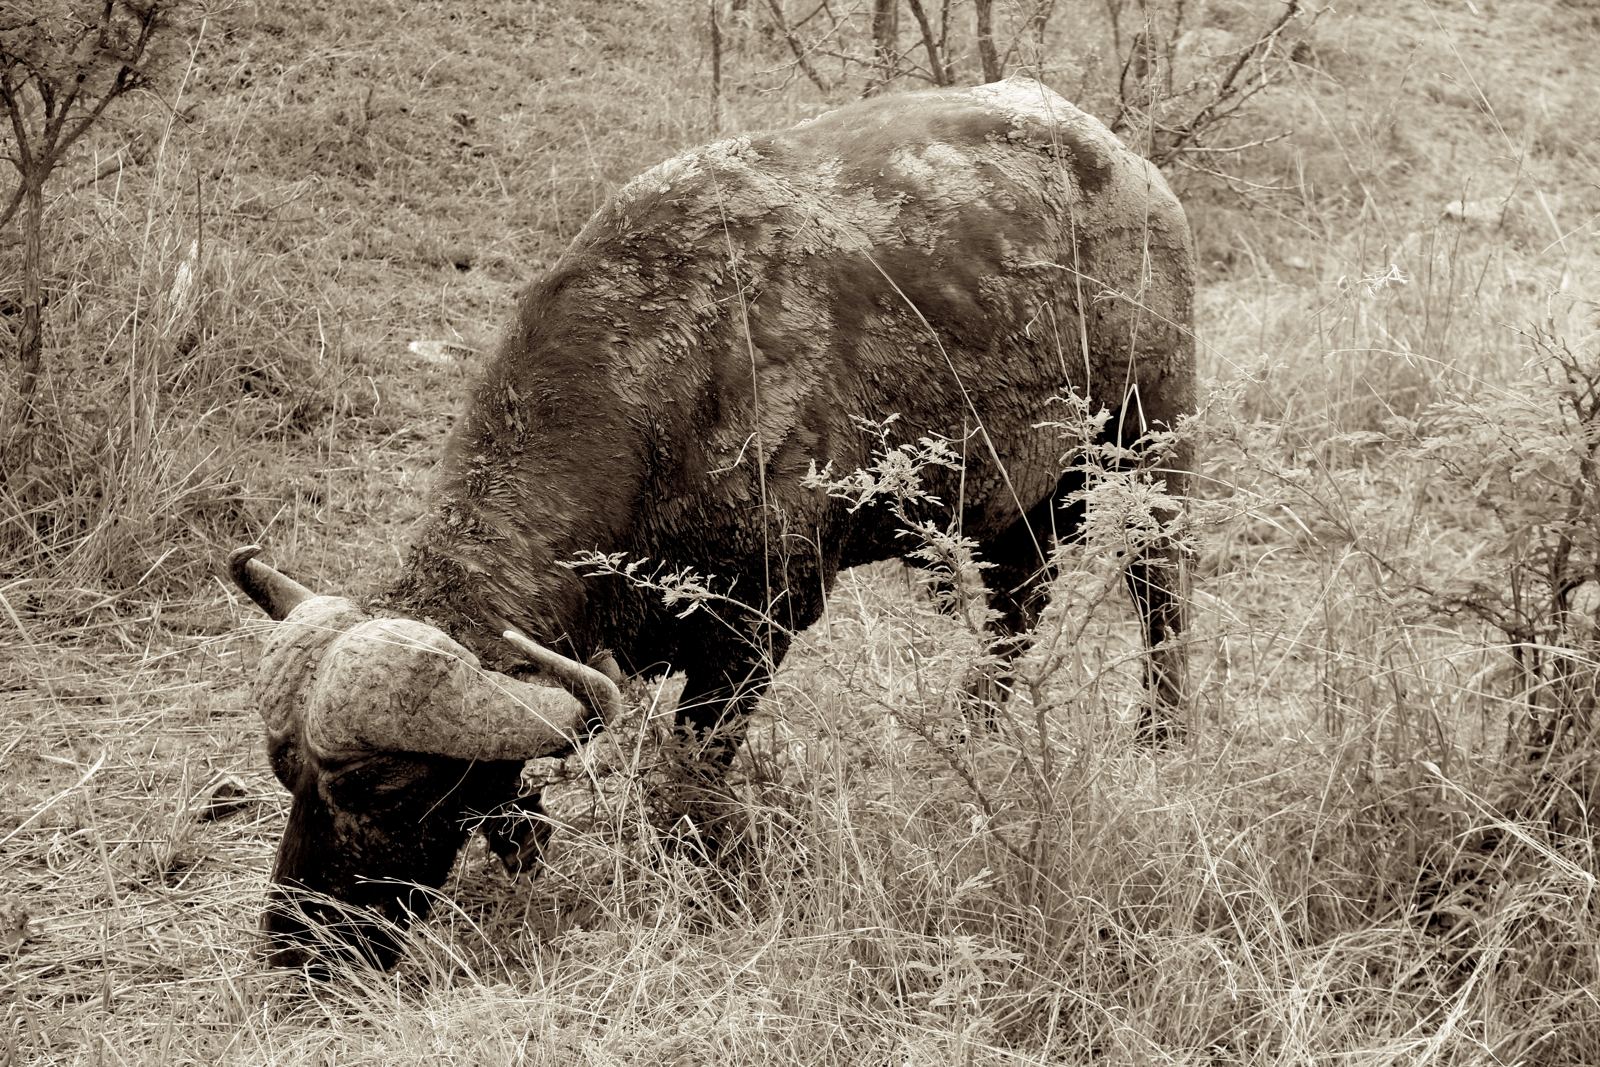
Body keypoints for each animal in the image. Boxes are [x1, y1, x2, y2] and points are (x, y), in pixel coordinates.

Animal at [231, 75, 1196, 971]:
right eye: (288, 772)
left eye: (386, 789)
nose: (296, 944)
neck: (662, 387)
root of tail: (1126, 164)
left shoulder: (758, 624)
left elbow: (685, 773)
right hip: (1007, 502)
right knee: (1015, 608)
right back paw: (973, 733)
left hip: (1151, 441)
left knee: (1159, 588)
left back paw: (1163, 732)